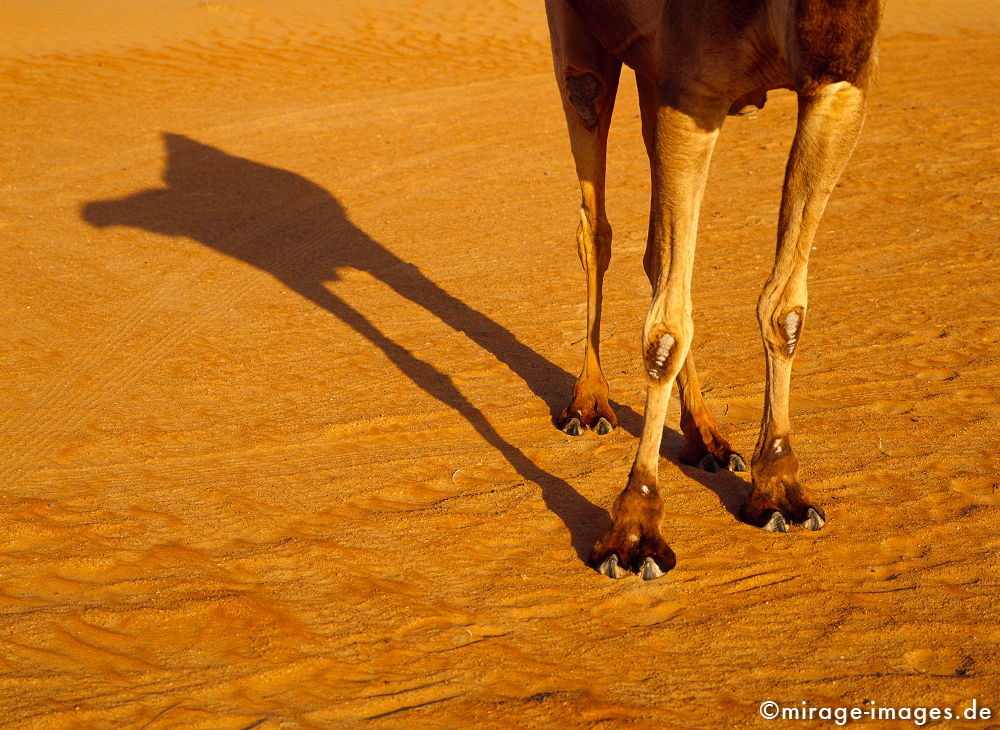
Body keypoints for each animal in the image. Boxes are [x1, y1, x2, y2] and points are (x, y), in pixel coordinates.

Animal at [548, 1, 884, 580]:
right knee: (596, 226)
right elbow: (665, 331)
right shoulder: (693, 93)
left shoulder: (841, 85)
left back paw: (706, 437)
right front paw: (635, 531)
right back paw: (588, 404)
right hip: (582, 46)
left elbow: (785, 307)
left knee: (658, 254)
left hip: (652, 72)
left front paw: (779, 490)